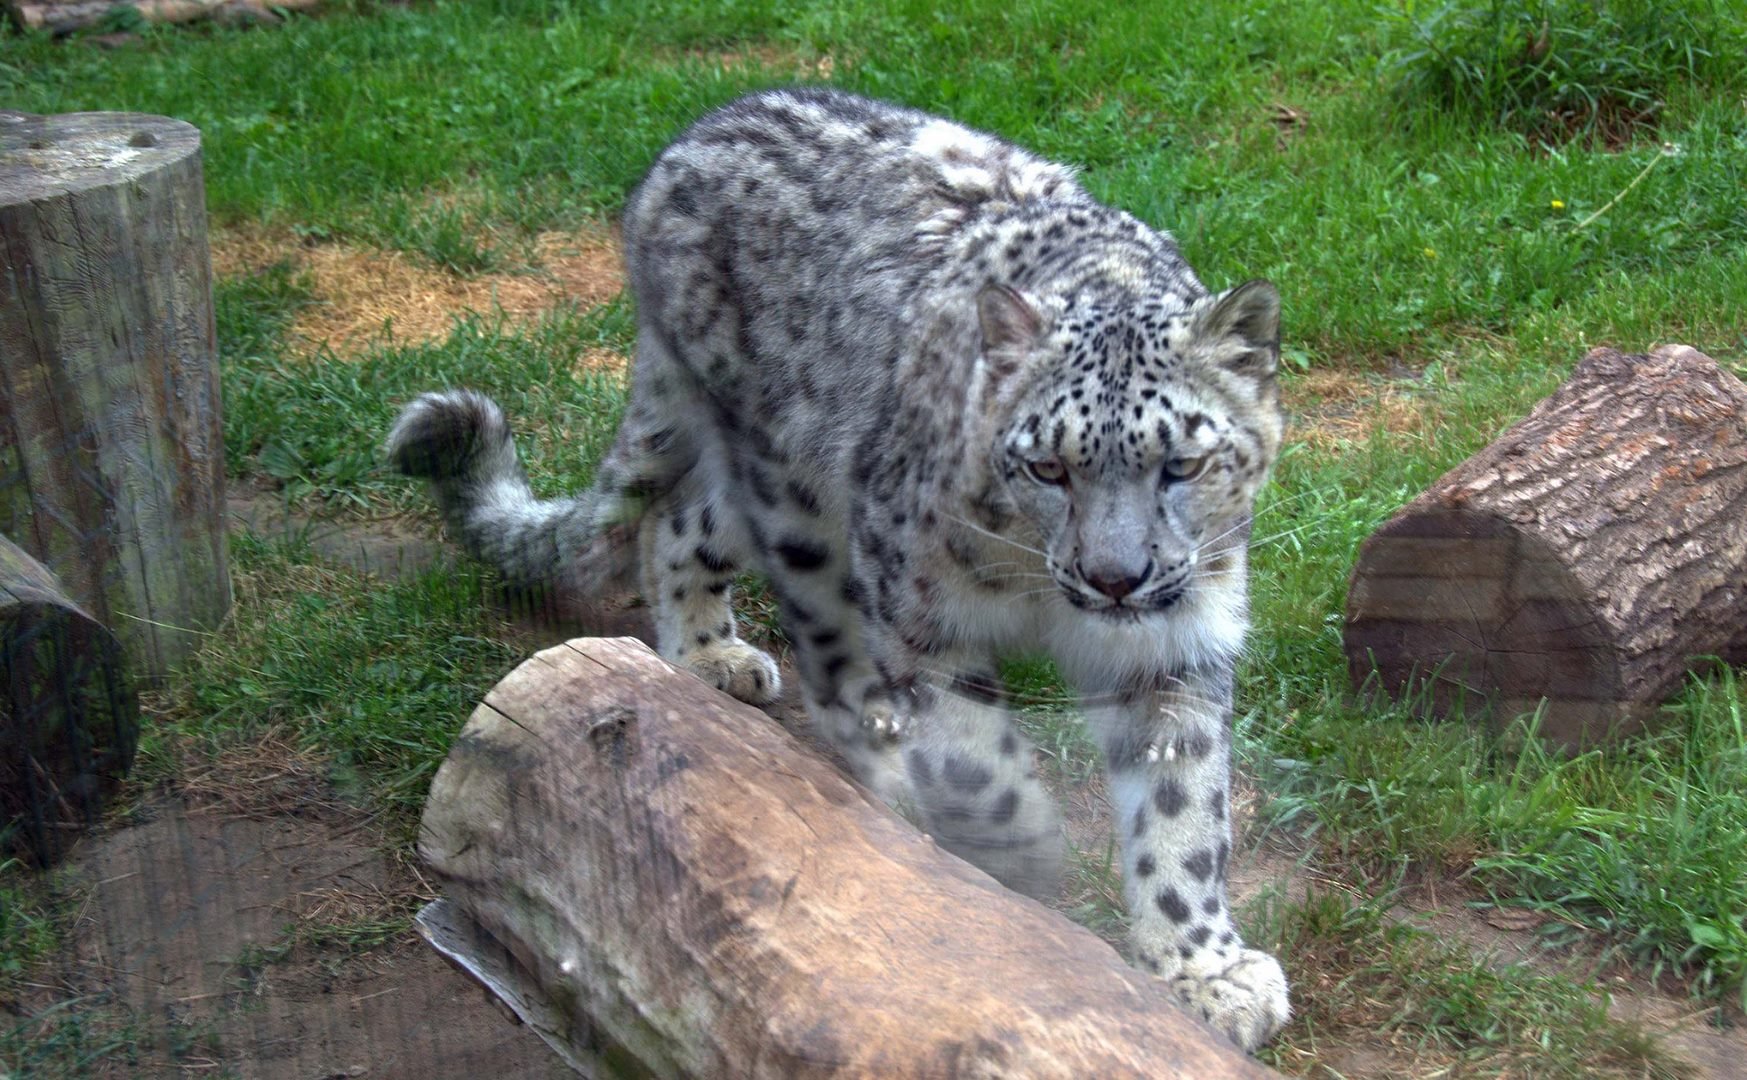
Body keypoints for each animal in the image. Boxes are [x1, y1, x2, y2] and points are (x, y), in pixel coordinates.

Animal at [389, 86, 1292, 1048]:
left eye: (1182, 465)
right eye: (1048, 467)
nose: (1115, 578)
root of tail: (681, 148)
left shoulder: (1178, 639)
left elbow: (1183, 804)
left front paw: (1204, 969)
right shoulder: (921, 605)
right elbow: (972, 756)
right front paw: (1022, 847)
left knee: (677, 522)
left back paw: (711, 655)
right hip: (795, 494)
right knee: (818, 646)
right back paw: (863, 764)